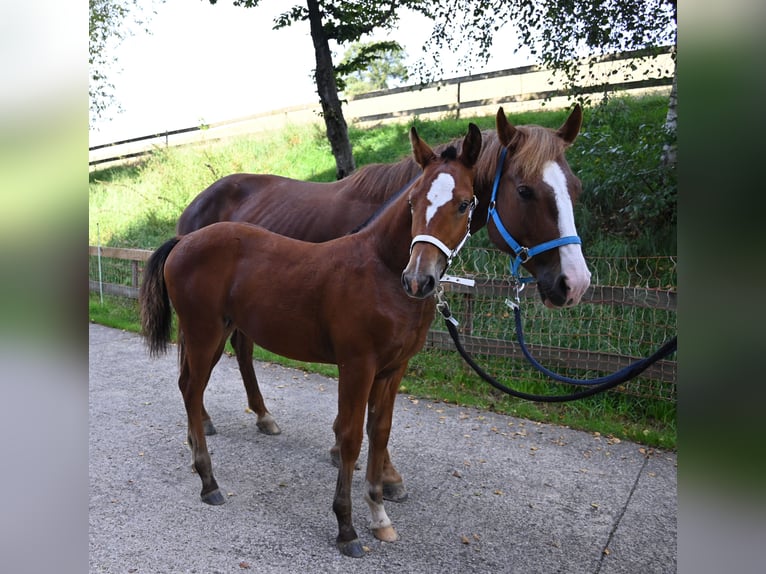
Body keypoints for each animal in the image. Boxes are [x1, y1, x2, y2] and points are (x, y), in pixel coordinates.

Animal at [140, 124, 483, 557]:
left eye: (464, 204)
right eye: (412, 201)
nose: (419, 279)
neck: (380, 270)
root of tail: (183, 242)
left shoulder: (392, 370)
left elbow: (380, 433)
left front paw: (380, 516)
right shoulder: (357, 366)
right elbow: (350, 439)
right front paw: (346, 528)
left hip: (214, 333)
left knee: (193, 387)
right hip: (205, 333)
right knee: (190, 387)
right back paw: (209, 481)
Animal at [175, 106, 591, 463]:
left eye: (575, 188)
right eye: (524, 190)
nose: (574, 282)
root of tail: (196, 203)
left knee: (240, 351)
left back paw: (261, 415)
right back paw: (207, 420)